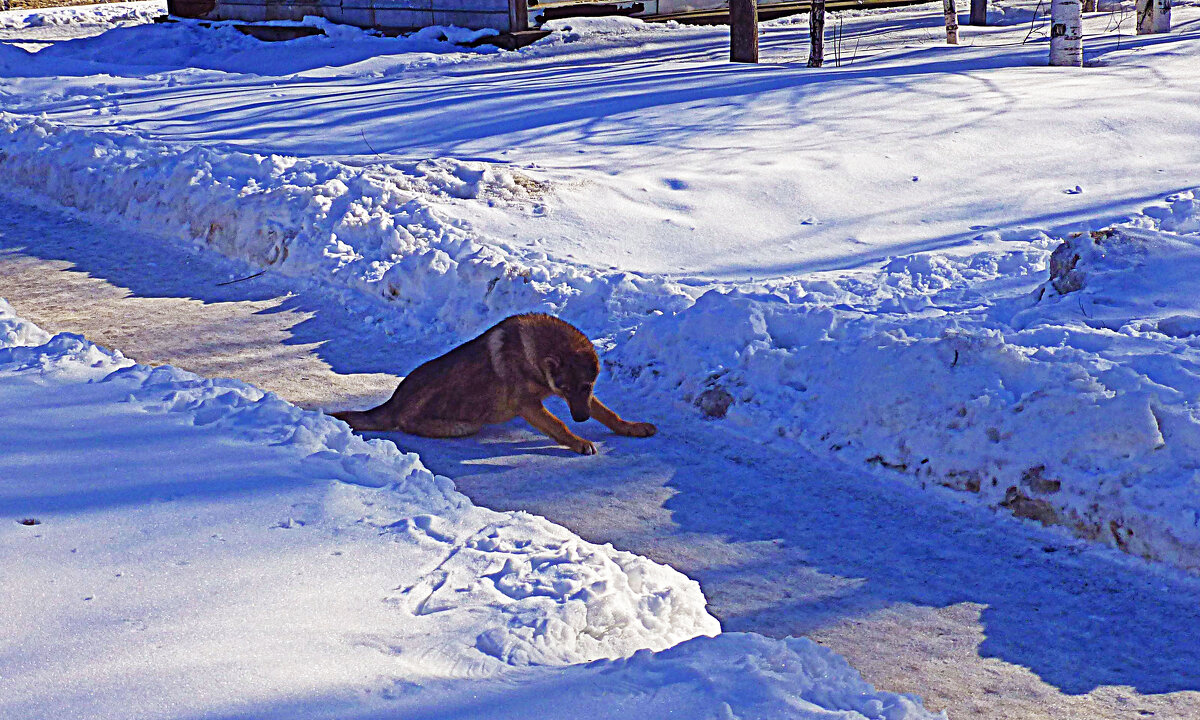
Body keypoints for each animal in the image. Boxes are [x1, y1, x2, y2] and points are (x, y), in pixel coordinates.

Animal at [331, 312, 657, 453]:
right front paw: (579, 442)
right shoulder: (530, 405)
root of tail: (392, 404)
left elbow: (608, 414)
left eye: (587, 387)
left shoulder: (579, 400)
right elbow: (559, 426)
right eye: (564, 388)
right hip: (466, 424)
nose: (581, 418)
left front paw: (632, 428)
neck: (535, 352)